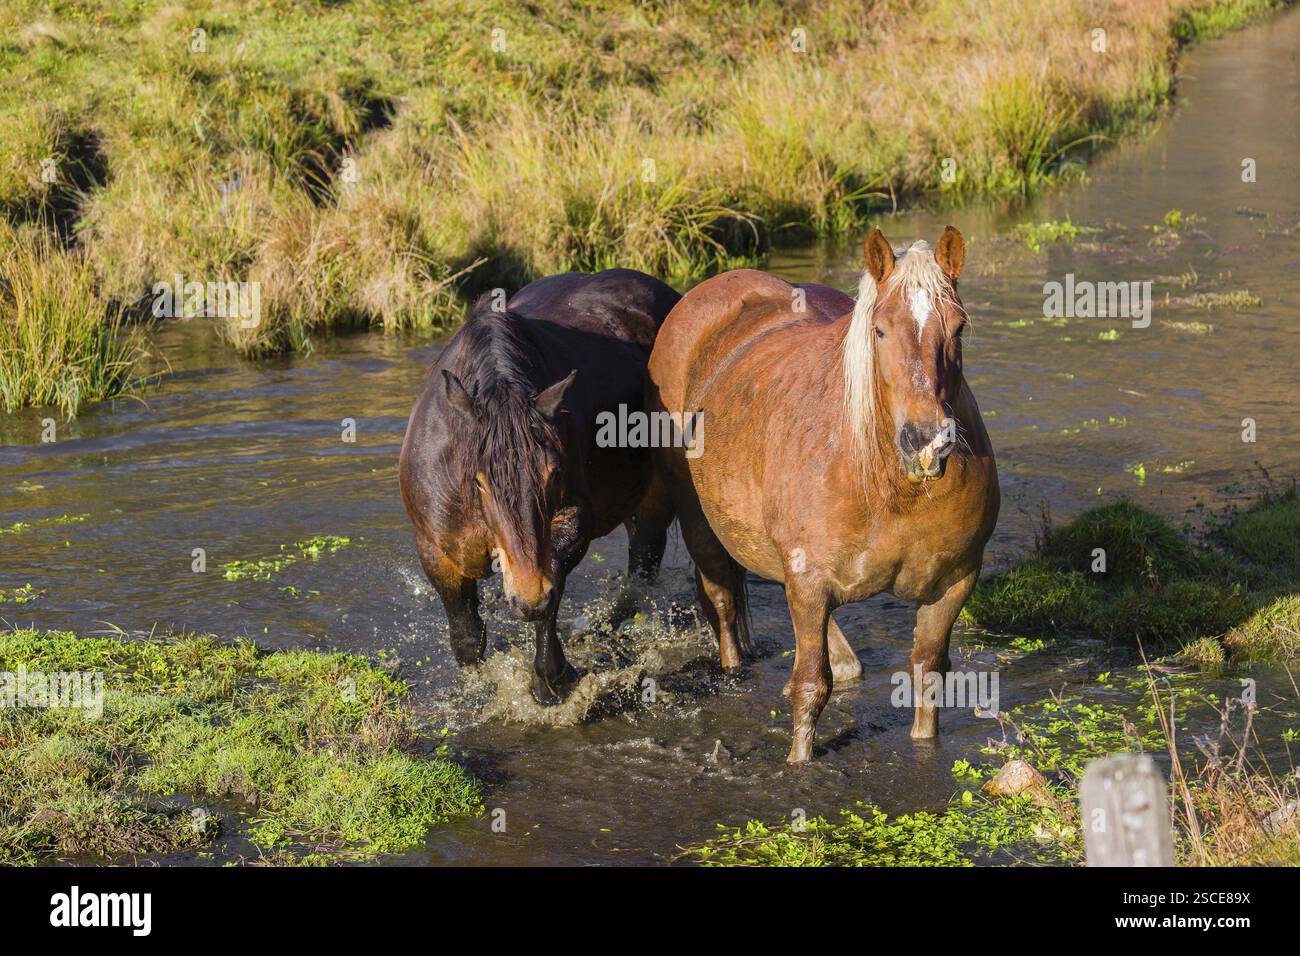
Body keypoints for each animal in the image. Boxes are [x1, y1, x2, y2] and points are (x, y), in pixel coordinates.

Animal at [400, 269, 680, 704]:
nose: (527, 597)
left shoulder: (570, 526)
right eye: (479, 481)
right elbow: (468, 638)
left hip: (655, 500)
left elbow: (552, 590)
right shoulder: (435, 551)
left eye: (552, 473)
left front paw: (551, 680)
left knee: (642, 569)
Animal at [647, 227, 999, 762]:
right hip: (698, 519)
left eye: (957, 329)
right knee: (721, 600)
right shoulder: (809, 580)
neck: (887, 487)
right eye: (880, 330)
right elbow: (811, 687)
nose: (926, 440)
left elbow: (927, 678)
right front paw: (799, 760)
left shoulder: (954, 582)